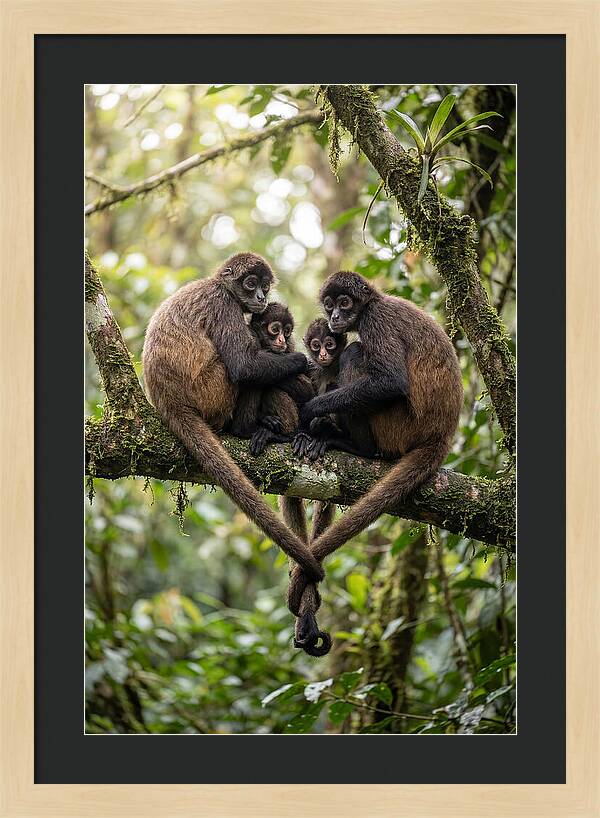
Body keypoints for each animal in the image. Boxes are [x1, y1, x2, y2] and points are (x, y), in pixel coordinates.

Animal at [142, 252, 324, 583]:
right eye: (251, 284)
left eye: (265, 285)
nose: (261, 297)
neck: (218, 285)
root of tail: (169, 401)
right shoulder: (223, 304)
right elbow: (244, 366)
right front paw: (301, 361)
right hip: (212, 391)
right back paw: (246, 429)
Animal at [286, 269, 463, 620]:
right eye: (329, 305)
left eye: (344, 303)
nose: (335, 317)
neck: (374, 302)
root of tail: (441, 435)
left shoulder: (375, 320)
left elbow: (391, 381)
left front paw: (312, 413)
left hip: (397, 426)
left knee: (356, 352)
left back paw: (355, 446)